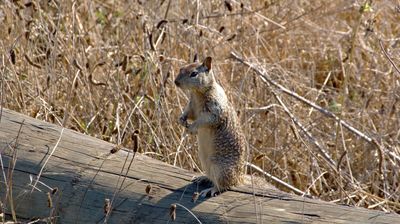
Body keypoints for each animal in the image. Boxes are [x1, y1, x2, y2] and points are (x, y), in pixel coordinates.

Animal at [176, 57, 247, 197]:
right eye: (181, 68)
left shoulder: (215, 110)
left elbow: (204, 120)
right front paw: (182, 119)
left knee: (224, 185)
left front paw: (192, 128)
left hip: (219, 168)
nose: (176, 82)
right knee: (212, 178)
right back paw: (203, 178)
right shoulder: (192, 106)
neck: (197, 93)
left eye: (194, 74)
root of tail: (239, 178)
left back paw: (211, 190)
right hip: (205, 163)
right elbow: (189, 113)